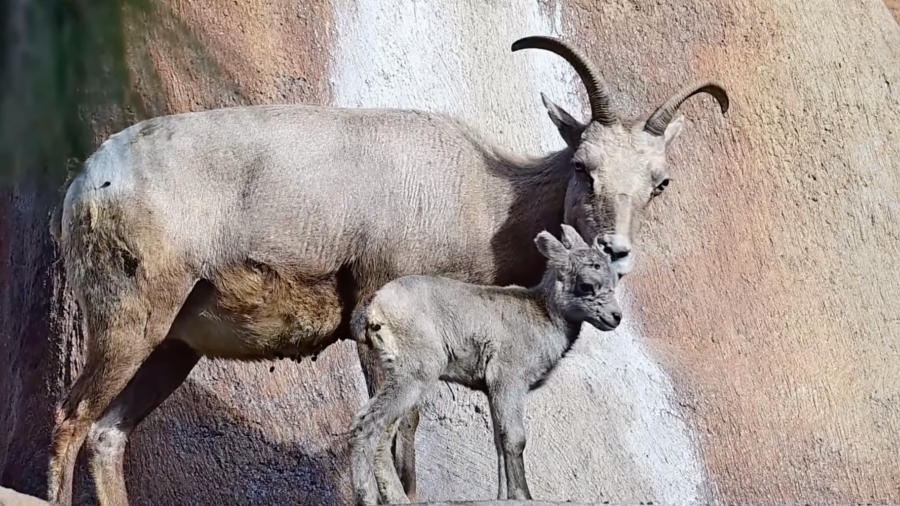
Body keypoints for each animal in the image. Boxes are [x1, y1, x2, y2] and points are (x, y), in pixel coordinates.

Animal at [350, 225, 620, 506]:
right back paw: (377, 498)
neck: (543, 317)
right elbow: (514, 438)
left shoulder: (491, 390)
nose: (616, 317)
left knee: (383, 430)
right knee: (367, 424)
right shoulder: (509, 381)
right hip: (415, 375)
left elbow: (498, 441)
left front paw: (502, 496)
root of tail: (372, 309)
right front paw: (522, 495)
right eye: (586, 285)